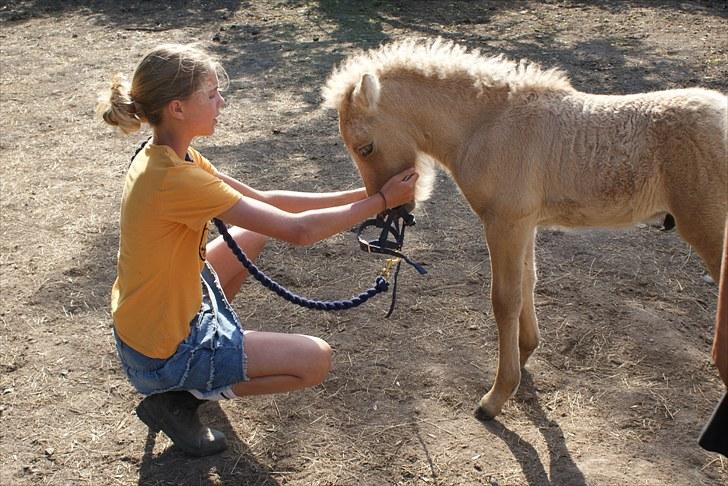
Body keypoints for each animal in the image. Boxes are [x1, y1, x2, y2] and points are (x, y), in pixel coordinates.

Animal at [324, 39, 728, 418]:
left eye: (366, 147)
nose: (395, 209)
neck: (487, 127)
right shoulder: (525, 222)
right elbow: (528, 282)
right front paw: (524, 353)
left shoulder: (504, 223)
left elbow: (505, 299)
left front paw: (497, 395)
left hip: (710, 232)